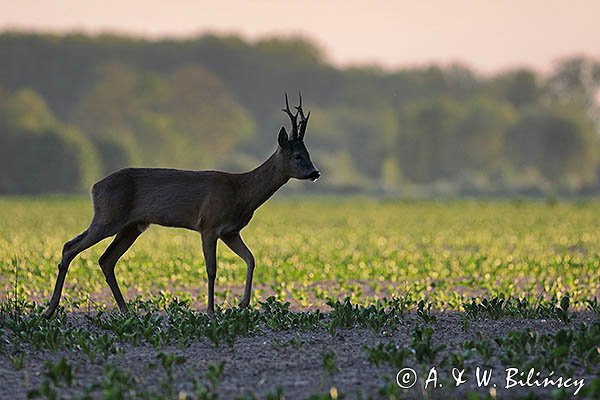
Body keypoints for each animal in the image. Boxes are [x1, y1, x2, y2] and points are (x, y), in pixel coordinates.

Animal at [44, 94, 318, 318]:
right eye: (297, 156)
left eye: (308, 153)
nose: (315, 172)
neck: (241, 192)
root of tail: (94, 187)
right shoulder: (209, 225)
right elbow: (211, 269)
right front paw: (211, 311)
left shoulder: (231, 231)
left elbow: (251, 259)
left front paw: (243, 304)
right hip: (108, 217)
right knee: (70, 247)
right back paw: (50, 310)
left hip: (132, 226)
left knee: (105, 260)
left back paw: (125, 311)